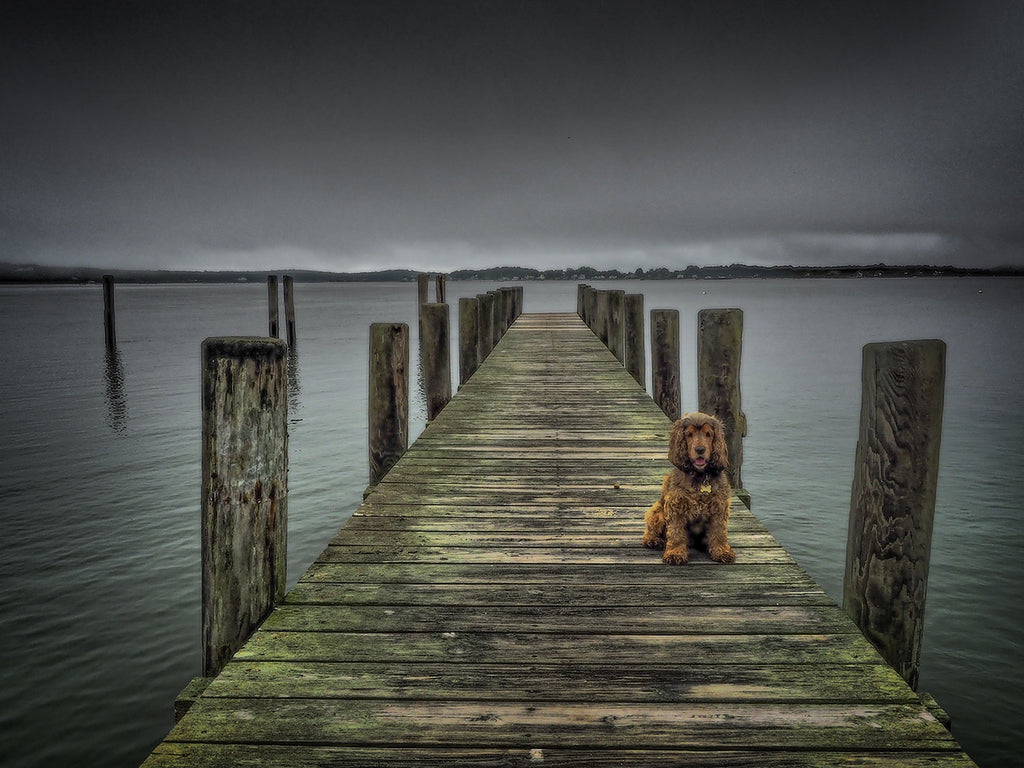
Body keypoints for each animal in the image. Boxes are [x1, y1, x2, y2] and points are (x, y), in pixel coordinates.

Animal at [638, 415, 737, 565]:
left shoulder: (719, 507)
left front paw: (722, 551)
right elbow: (676, 533)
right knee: (649, 531)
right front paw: (675, 554)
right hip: (657, 511)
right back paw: (654, 541)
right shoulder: (675, 507)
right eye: (689, 434)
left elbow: (719, 532)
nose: (700, 449)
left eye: (708, 434)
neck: (700, 476)